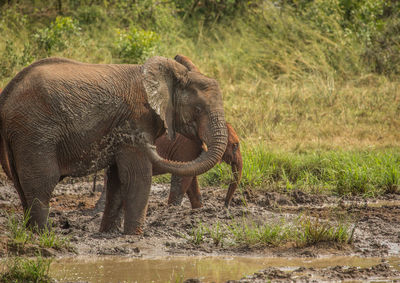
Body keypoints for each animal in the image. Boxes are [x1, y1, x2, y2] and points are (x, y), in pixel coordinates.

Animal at [0, 55, 227, 235]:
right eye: (198, 110)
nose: (151, 146)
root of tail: (6, 98)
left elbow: (118, 180)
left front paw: (109, 234)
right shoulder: (136, 121)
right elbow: (137, 177)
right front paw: (134, 236)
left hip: (21, 136)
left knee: (23, 187)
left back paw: (32, 233)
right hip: (34, 132)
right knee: (42, 184)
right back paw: (45, 235)